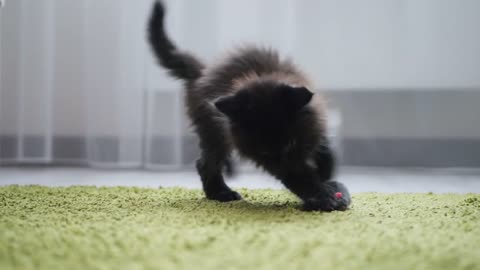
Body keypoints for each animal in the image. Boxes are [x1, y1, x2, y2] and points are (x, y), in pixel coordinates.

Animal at [148, 1, 350, 211]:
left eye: (289, 144)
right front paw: (322, 195)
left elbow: (325, 153)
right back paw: (221, 193)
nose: (283, 165)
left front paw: (327, 176)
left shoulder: (315, 126)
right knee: (206, 163)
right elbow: (301, 179)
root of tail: (203, 71)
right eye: (265, 152)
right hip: (213, 130)